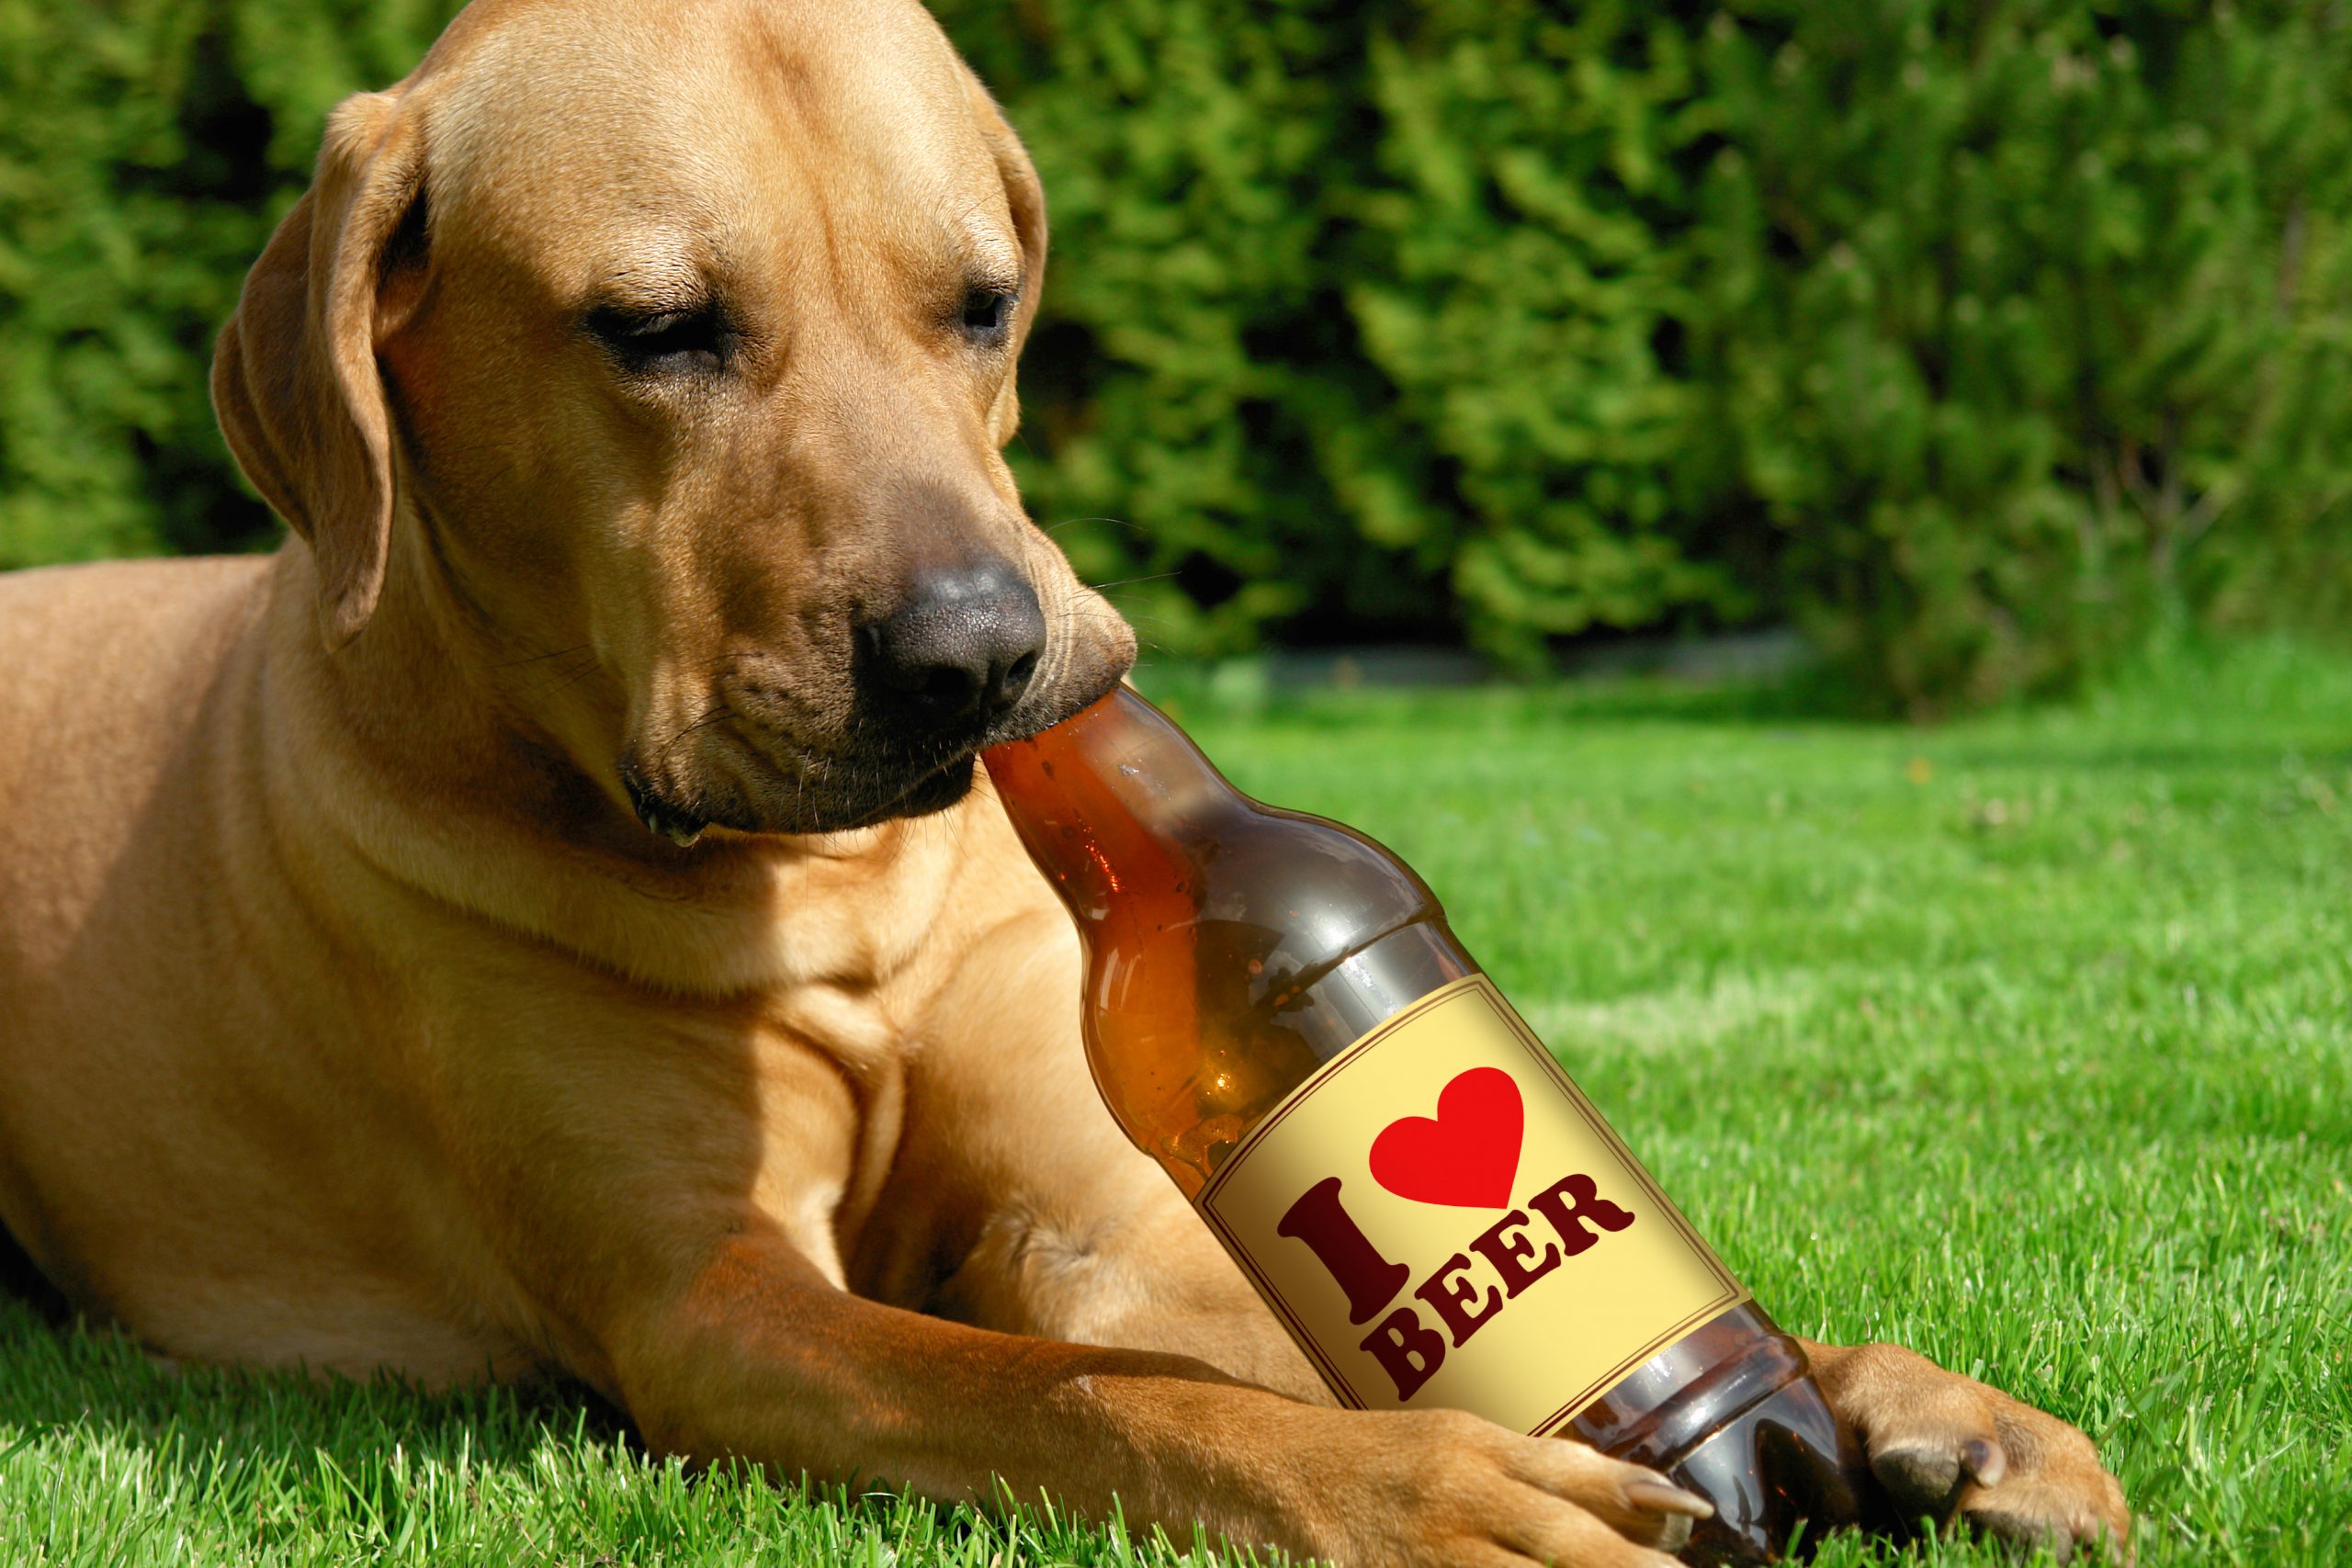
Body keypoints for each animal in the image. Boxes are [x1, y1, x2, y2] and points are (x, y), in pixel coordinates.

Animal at [0, 0, 2135, 1561]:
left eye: (980, 302)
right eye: (653, 329)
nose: (978, 652)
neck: (827, 895)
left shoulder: (1117, 1208)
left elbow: (1209, 1343)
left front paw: (1877, 1391)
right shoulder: (717, 1307)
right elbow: (1088, 1398)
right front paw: (1443, 1488)